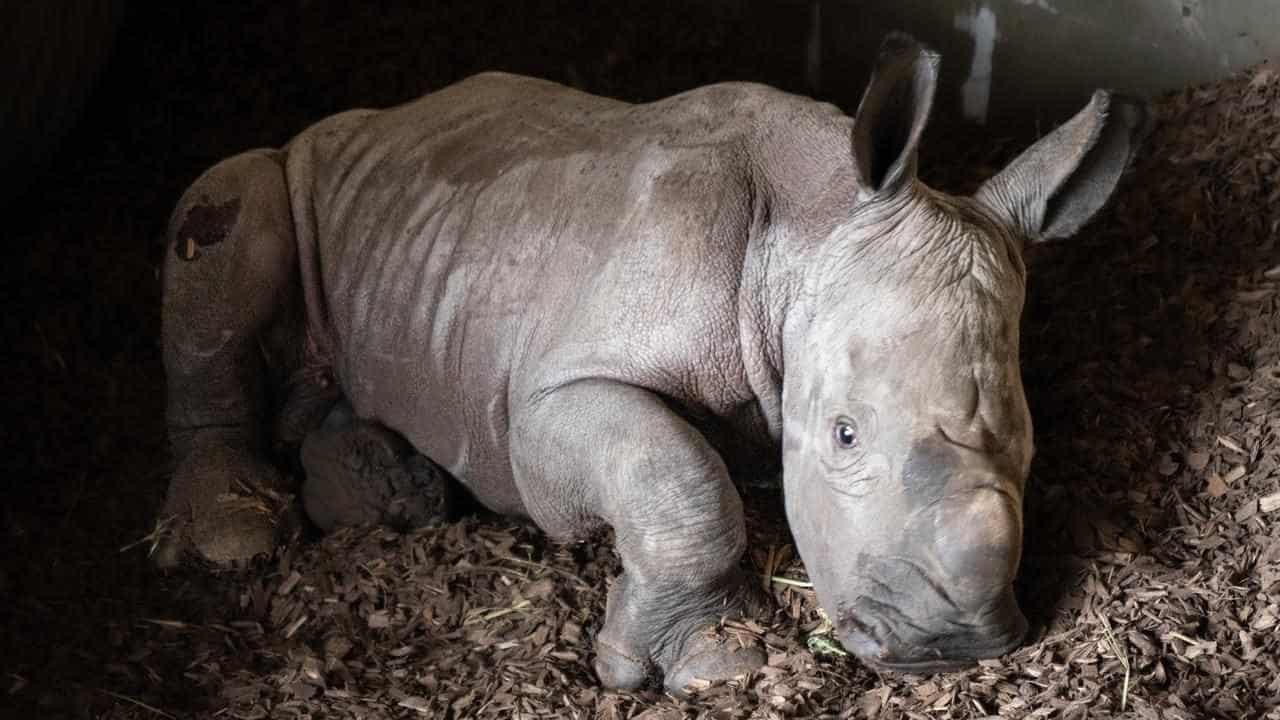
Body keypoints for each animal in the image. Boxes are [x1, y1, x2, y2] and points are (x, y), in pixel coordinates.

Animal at [154, 32, 1146, 691]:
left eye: (1030, 445)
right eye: (844, 435)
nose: (953, 646)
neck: (812, 227)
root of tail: (334, 124)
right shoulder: (542, 400)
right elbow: (678, 476)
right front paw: (709, 668)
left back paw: (381, 491)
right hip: (285, 175)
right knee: (227, 214)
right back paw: (240, 537)